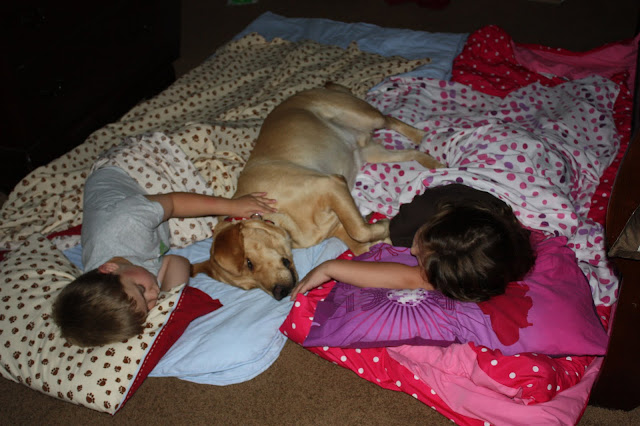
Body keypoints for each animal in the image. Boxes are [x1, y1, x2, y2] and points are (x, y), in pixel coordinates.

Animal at [191, 83, 443, 300]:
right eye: (250, 286)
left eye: (249, 263)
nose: (280, 293)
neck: (280, 220)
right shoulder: (338, 222)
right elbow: (360, 243)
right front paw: (382, 233)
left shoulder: (331, 185)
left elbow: (360, 231)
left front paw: (384, 224)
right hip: (372, 152)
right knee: (411, 152)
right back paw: (435, 163)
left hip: (364, 116)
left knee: (389, 119)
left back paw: (423, 135)